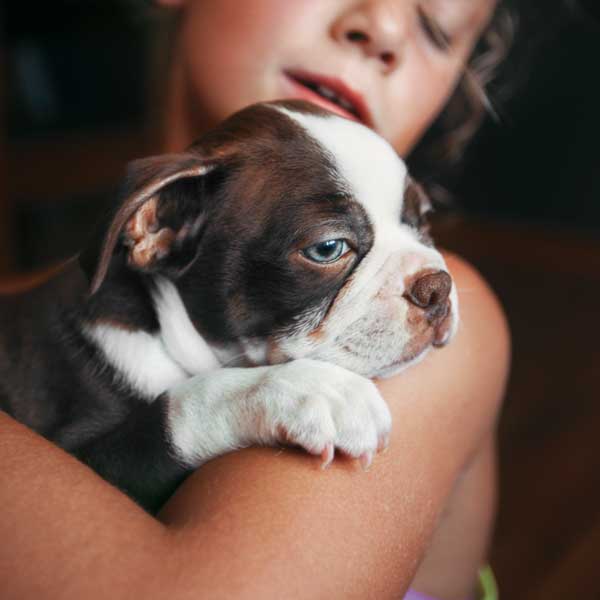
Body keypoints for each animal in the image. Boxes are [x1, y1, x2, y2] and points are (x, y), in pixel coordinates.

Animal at [0, 102, 458, 510]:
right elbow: (178, 408)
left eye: (424, 220)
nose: (438, 286)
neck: (163, 331)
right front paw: (307, 388)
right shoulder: (79, 455)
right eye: (328, 248)